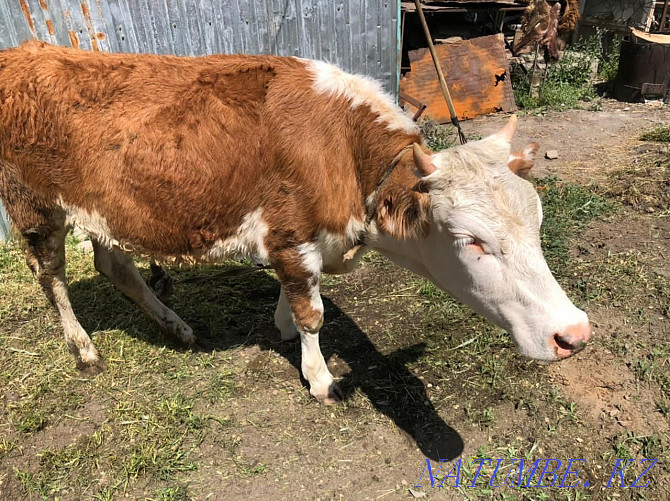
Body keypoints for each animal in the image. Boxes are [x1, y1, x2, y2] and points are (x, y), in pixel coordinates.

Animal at [0, 41, 592, 404]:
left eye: (538, 225)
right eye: (473, 241)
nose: (574, 334)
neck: (345, 150)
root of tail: (25, 52)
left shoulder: (302, 245)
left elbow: (301, 298)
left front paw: (282, 323)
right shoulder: (289, 233)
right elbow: (315, 314)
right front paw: (320, 377)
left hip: (106, 209)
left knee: (115, 266)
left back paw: (177, 327)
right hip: (35, 207)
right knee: (51, 276)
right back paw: (84, 349)